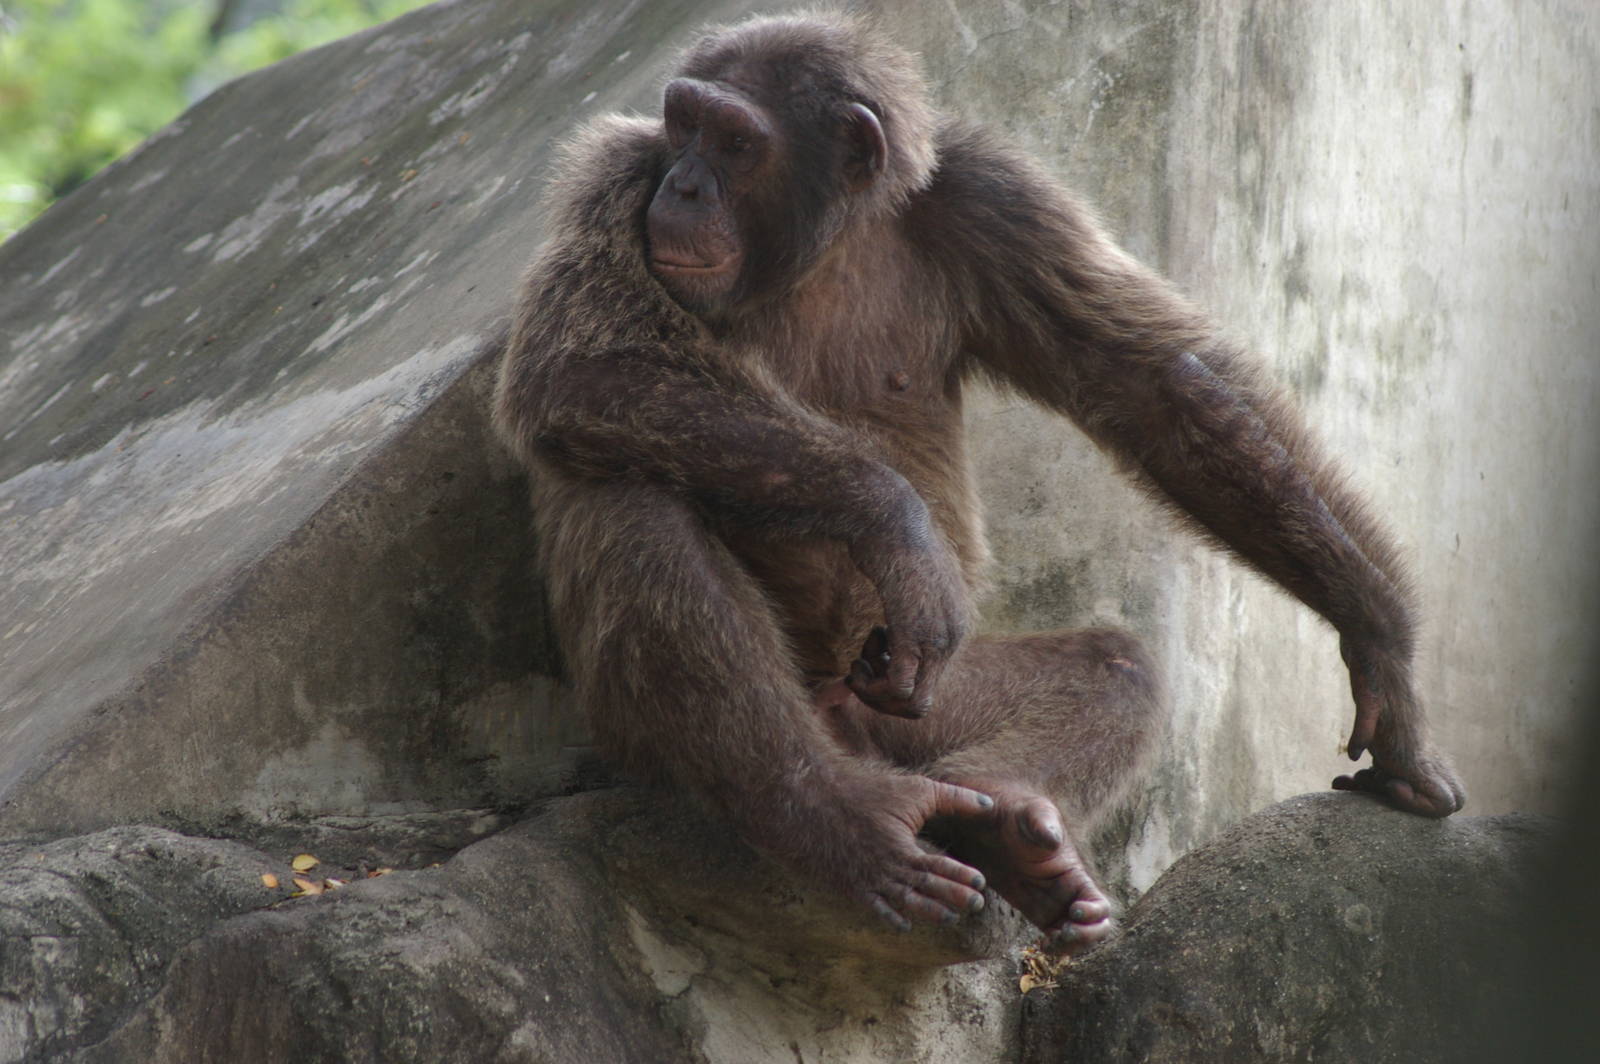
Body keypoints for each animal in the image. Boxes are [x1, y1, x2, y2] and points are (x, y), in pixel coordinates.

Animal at [493, 12, 1465, 952]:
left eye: (735, 141)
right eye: (684, 123)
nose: (686, 186)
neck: (824, 245)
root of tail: (840, 723)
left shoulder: (1001, 204)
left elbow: (1155, 384)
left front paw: (1380, 647)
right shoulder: (613, 179)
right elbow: (578, 368)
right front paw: (898, 525)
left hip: (914, 711)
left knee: (1117, 670)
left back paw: (1009, 825)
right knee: (633, 496)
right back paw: (835, 816)